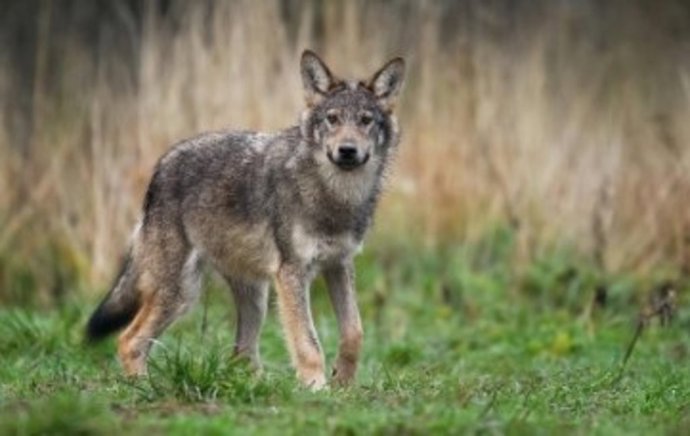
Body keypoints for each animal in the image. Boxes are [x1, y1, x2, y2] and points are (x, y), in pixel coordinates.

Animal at [86, 50, 405, 389]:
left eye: (365, 120)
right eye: (332, 119)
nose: (347, 150)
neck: (334, 196)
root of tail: (162, 165)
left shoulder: (339, 265)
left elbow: (355, 332)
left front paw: (343, 382)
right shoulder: (292, 273)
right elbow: (308, 342)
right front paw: (317, 387)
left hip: (255, 297)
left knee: (241, 354)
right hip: (181, 293)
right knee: (129, 340)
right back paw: (145, 387)